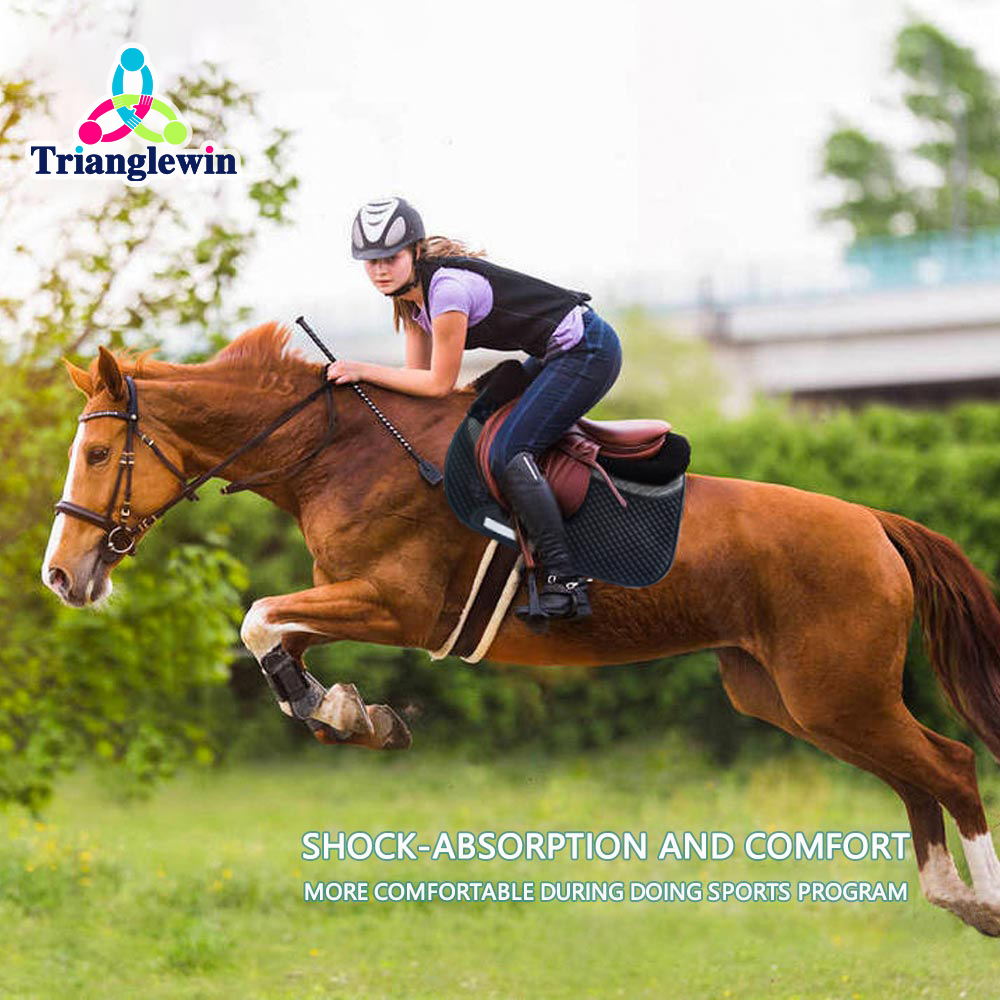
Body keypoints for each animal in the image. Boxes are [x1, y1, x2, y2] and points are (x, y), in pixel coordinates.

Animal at [40, 321, 1000, 937]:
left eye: (96, 454)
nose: (61, 574)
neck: (335, 451)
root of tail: (874, 522)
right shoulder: (350, 600)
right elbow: (276, 638)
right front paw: (350, 714)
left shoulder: (394, 604)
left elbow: (256, 618)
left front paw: (344, 713)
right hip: (796, 700)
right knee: (914, 776)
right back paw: (954, 898)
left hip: (835, 693)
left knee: (950, 764)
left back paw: (981, 901)